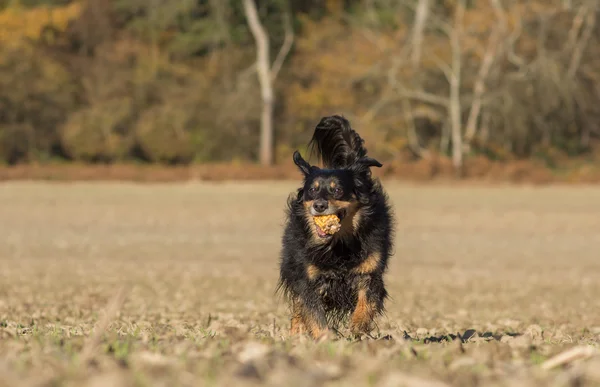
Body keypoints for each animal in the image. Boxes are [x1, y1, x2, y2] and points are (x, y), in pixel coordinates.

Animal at [276, 115, 394, 340]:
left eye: (337, 190)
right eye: (312, 191)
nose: (319, 205)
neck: (338, 244)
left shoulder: (370, 273)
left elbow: (366, 304)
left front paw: (357, 329)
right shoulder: (308, 278)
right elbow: (312, 312)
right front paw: (325, 338)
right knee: (297, 306)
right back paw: (296, 334)